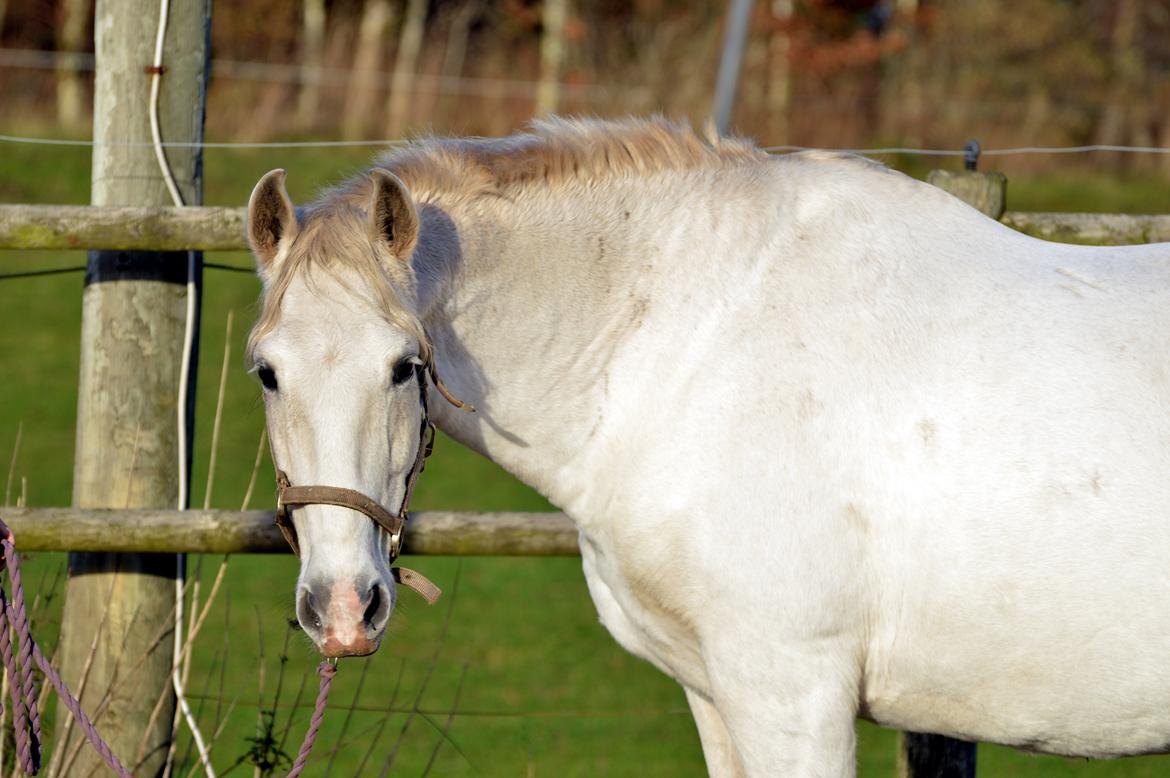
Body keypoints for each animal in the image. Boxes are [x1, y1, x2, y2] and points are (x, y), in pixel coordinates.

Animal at [244, 116, 1170, 776]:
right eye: (267, 372)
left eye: (405, 366)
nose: (342, 608)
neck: (699, 343)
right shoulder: (716, 694)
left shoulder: (792, 693)